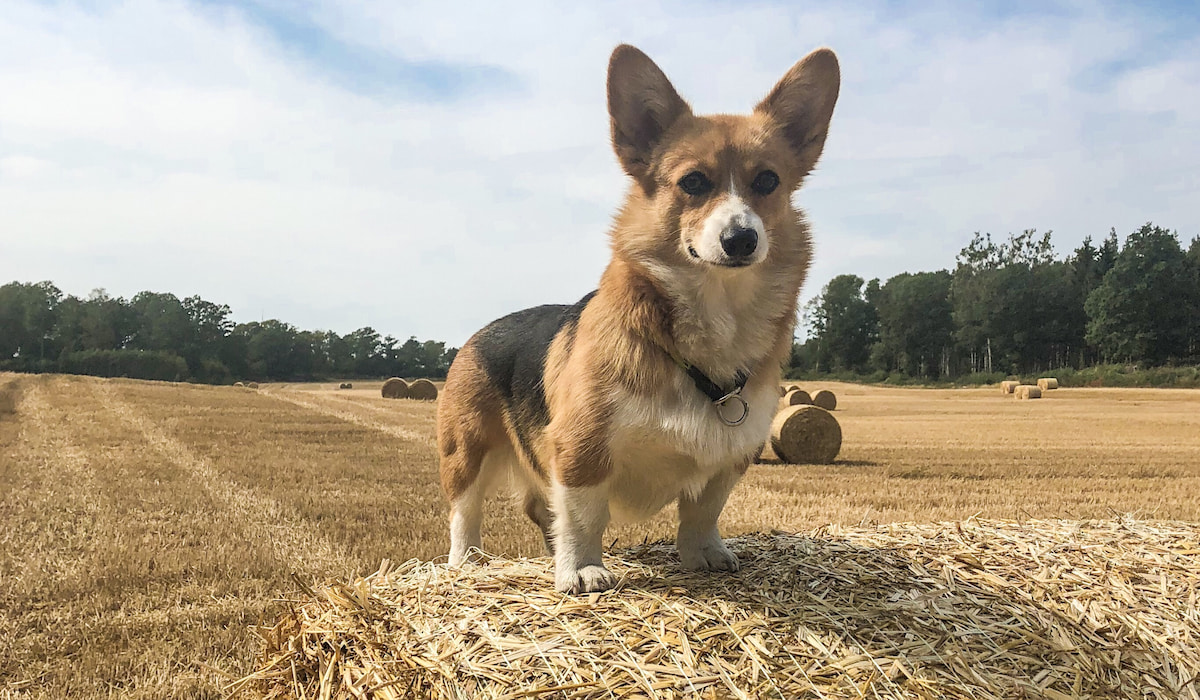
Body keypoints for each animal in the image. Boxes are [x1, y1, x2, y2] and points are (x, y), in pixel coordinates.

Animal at [436, 42, 840, 590]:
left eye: (767, 181)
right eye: (693, 181)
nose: (741, 239)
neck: (714, 316)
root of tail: (479, 331)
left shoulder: (731, 455)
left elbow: (703, 512)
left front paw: (704, 554)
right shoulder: (579, 449)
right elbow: (584, 515)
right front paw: (582, 569)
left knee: (540, 512)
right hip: (467, 452)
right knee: (466, 512)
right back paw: (466, 566)